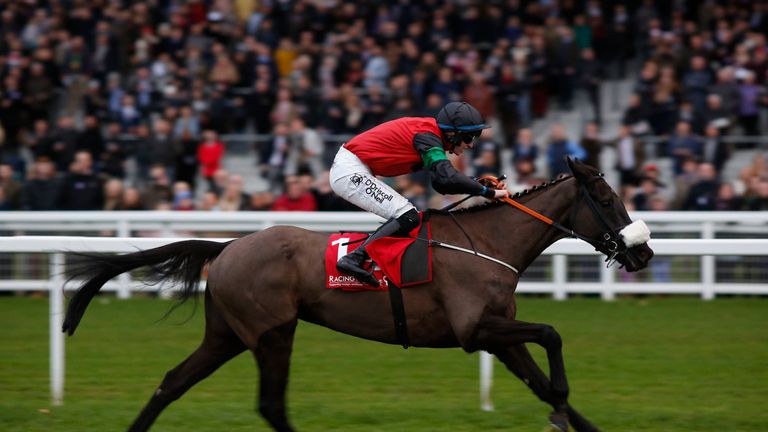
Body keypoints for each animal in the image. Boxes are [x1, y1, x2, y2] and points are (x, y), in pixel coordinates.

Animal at [63, 159, 652, 432]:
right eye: (605, 199)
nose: (642, 253)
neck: (487, 243)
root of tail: (228, 245)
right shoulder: (474, 329)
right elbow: (552, 335)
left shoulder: (498, 338)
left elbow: (545, 385)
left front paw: (570, 416)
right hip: (272, 332)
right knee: (270, 403)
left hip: (227, 334)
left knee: (171, 383)